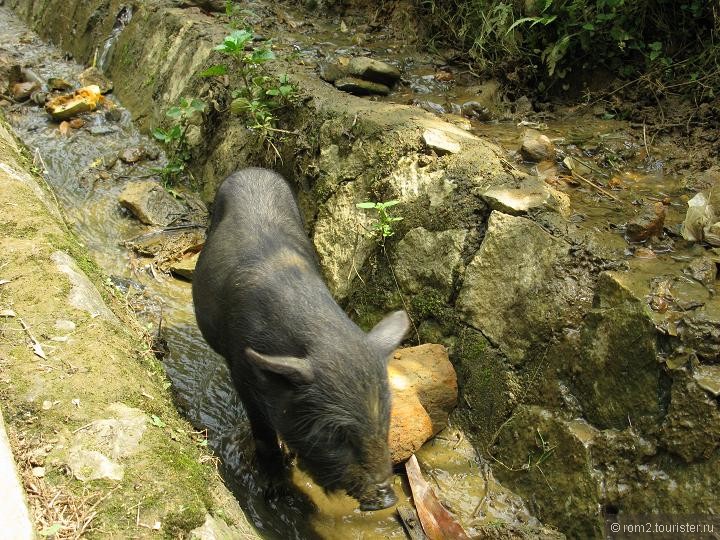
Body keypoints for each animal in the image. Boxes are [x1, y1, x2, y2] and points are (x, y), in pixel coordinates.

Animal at [191, 168, 408, 510]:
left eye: (384, 422)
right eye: (335, 435)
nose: (387, 499)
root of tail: (252, 170)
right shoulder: (242, 370)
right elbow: (264, 433)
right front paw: (275, 493)